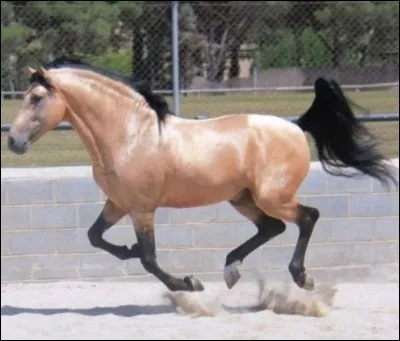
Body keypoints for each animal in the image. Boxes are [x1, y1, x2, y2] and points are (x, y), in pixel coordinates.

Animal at [7, 58, 396, 292]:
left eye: (37, 98)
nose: (13, 141)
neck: (130, 134)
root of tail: (296, 126)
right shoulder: (118, 203)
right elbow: (95, 237)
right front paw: (128, 250)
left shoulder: (142, 208)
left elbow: (149, 259)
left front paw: (187, 283)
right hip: (242, 198)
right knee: (272, 228)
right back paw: (231, 269)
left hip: (273, 196)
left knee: (307, 217)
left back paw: (301, 277)